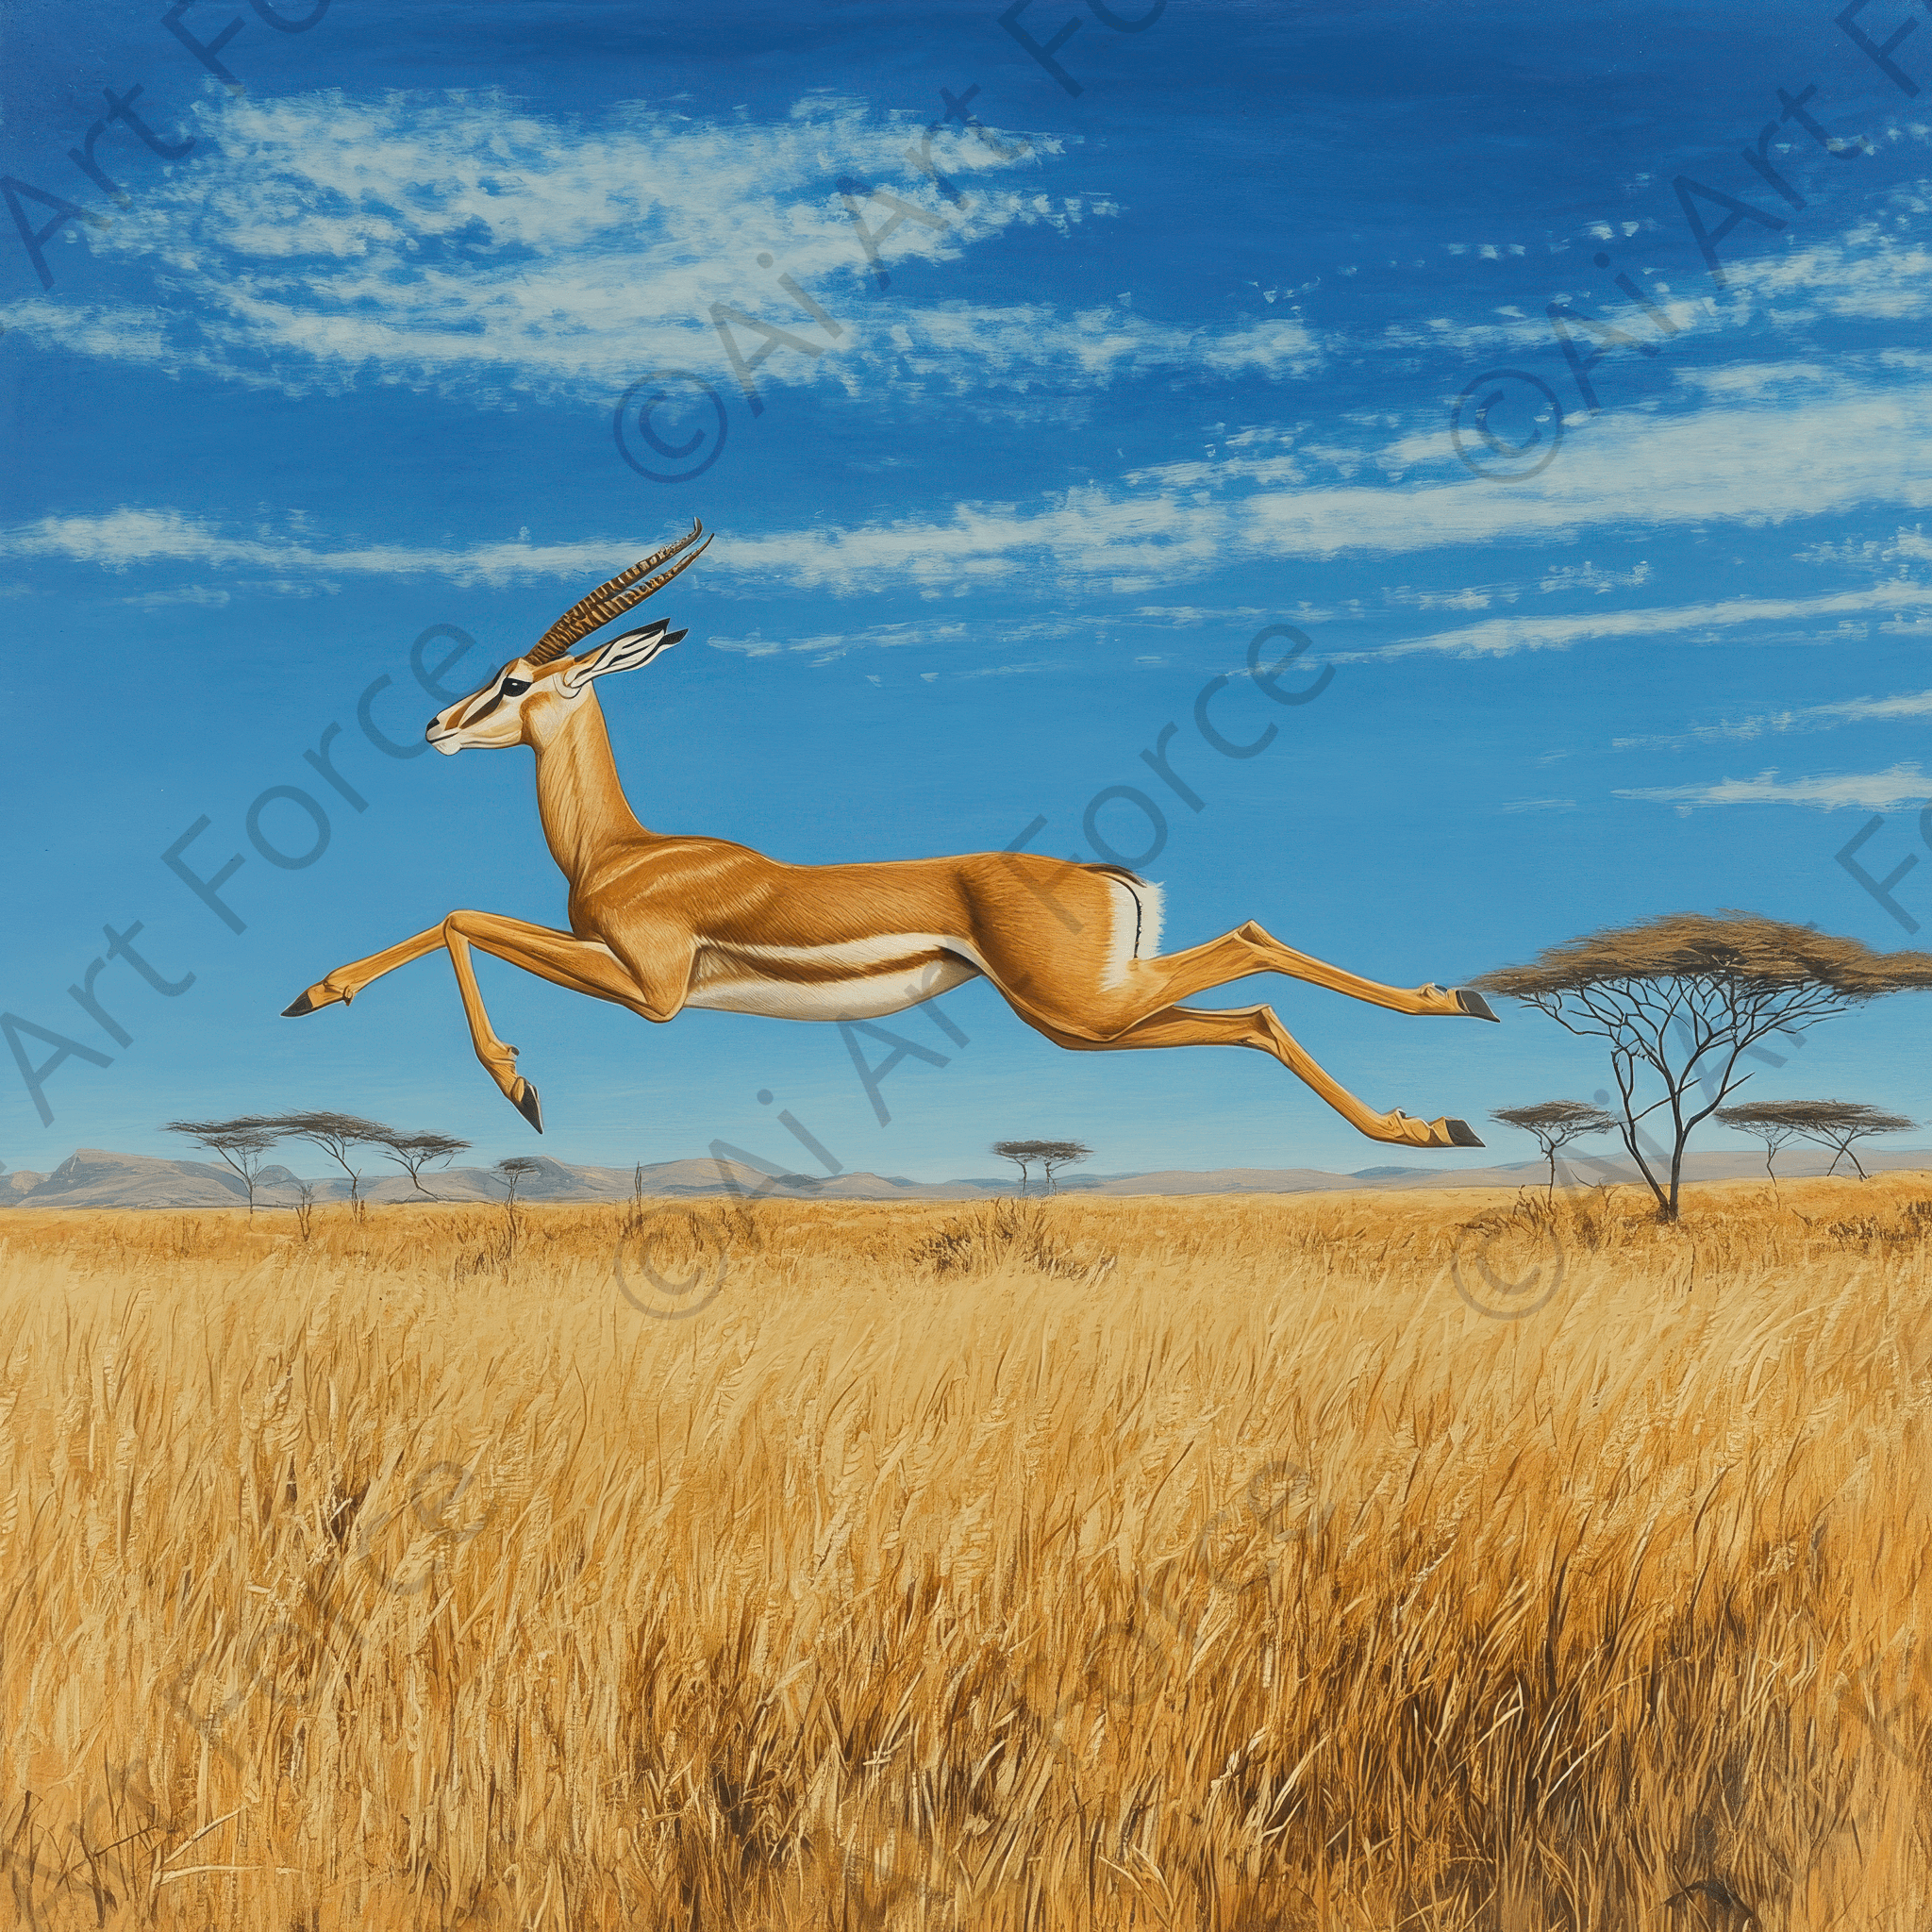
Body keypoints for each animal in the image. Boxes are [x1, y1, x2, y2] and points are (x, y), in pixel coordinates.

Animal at [284, 521, 1497, 1144]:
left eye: (513, 678)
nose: (435, 724)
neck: (622, 850)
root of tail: (1105, 876)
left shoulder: (650, 989)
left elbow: (459, 916)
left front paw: (515, 1088)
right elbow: (455, 916)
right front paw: (313, 993)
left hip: (1078, 1010)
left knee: (1248, 970)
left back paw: (1432, 1094)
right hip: (1092, 1015)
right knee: (1248, 992)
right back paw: (1448, 1051)